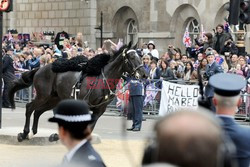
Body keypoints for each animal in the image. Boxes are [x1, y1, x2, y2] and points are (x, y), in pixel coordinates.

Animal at [8, 42, 147, 141]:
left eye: (140, 56)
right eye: (132, 56)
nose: (144, 74)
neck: (102, 78)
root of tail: (40, 68)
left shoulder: (99, 110)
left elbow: (89, 127)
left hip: (53, 99)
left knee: (37, 111)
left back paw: (33, 132)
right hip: (43, 96)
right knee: (29, 107)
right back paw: (25, 133)